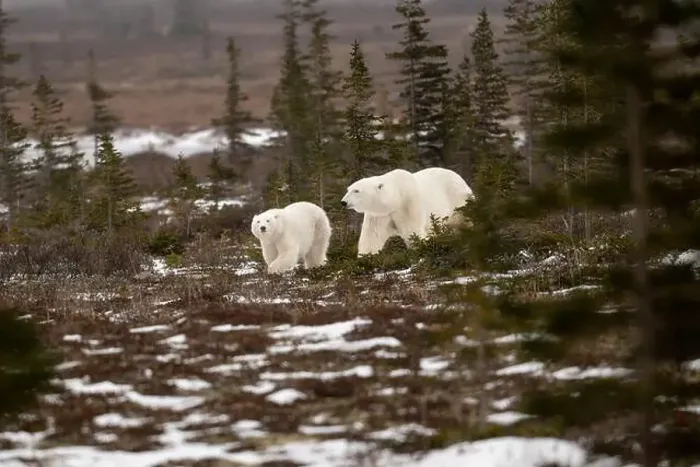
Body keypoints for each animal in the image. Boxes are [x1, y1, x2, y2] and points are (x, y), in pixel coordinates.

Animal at [340, 167, 474, 256]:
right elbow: (372, 236)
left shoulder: (409, 204)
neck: (396, 198)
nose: (343, 202)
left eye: (356, 191)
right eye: (348, 189)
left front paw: (420, 248)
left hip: (458, 199)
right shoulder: (379, 214)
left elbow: (412, 230)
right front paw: (366, 257)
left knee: (463, 218)